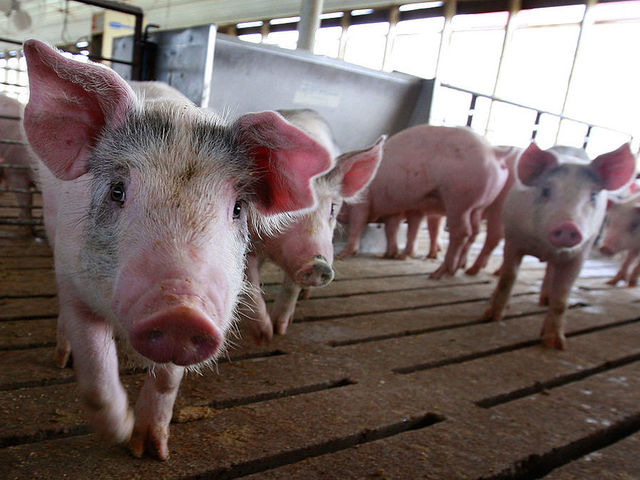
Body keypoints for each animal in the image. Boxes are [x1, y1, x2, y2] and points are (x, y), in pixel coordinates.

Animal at [23, 40, 331, 460]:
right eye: (117, 190)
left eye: (238, 208)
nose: (181, 312)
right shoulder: (74, 281)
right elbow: (96, 376)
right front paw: (121, 433)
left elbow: (168, 380)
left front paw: (151, 451)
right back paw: (61, 358)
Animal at [244, 109, 384, 343]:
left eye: (332, 208)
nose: (319, 264)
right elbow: (250, 283)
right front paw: (264, 335)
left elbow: (290, 286)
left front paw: (280, 329)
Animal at [337, 125, 509, 279]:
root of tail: (494, 152)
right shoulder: (395, 208)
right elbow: (391, 228)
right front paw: (390, 254)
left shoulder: (363, 203)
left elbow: (357, 225)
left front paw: (343, 254)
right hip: (477, 206)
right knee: (475, 231)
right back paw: (458, 270)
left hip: (459, 199)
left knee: (463, 232)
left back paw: (438, 274)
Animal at [480, 143, 635, 349]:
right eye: (546, 190)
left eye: (593, 196)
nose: (568, 226)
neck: (544, 247)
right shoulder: (514, 239)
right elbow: (507, 278)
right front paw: (491, 317)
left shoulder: (580, 254)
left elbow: (562, 297)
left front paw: (556, 344)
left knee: (550, 272)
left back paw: (545, 300)